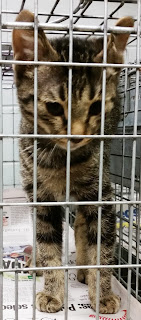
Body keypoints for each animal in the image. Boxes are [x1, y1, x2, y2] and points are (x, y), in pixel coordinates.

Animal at [12, 10, 133, 316]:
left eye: (97, 106)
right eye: (54, 107)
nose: (77, 135)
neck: (62, 159)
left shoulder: (101, 194)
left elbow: (102, 247)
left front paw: (102, 293)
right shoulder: (40, 197)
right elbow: (47, 243)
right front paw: (52, 291)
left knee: (81, 223)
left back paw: (83, 268)